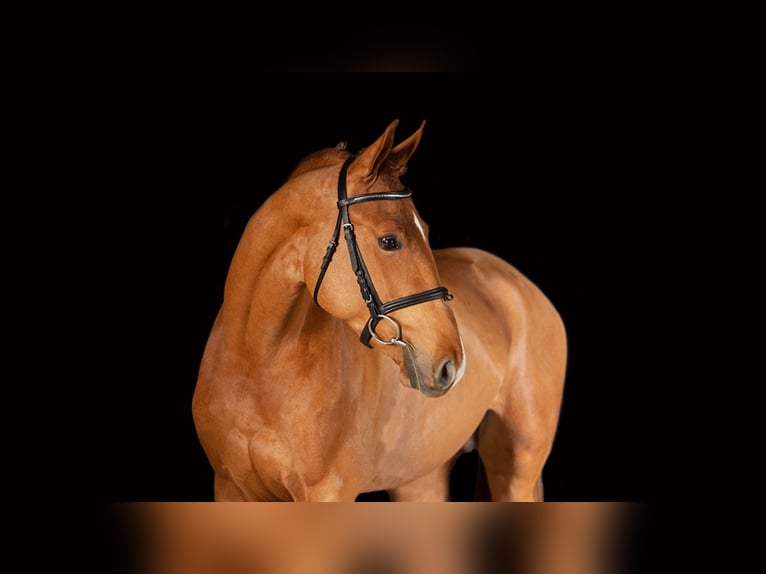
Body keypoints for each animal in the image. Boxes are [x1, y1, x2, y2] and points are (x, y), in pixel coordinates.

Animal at [192, 119, 567, 501]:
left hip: (516, 466)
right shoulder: (228, 487)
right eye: (389, 241)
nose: (452, 365)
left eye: (426, 231)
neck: (255, 368)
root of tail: (517, 283)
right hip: (421, 478)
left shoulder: (329, 492)